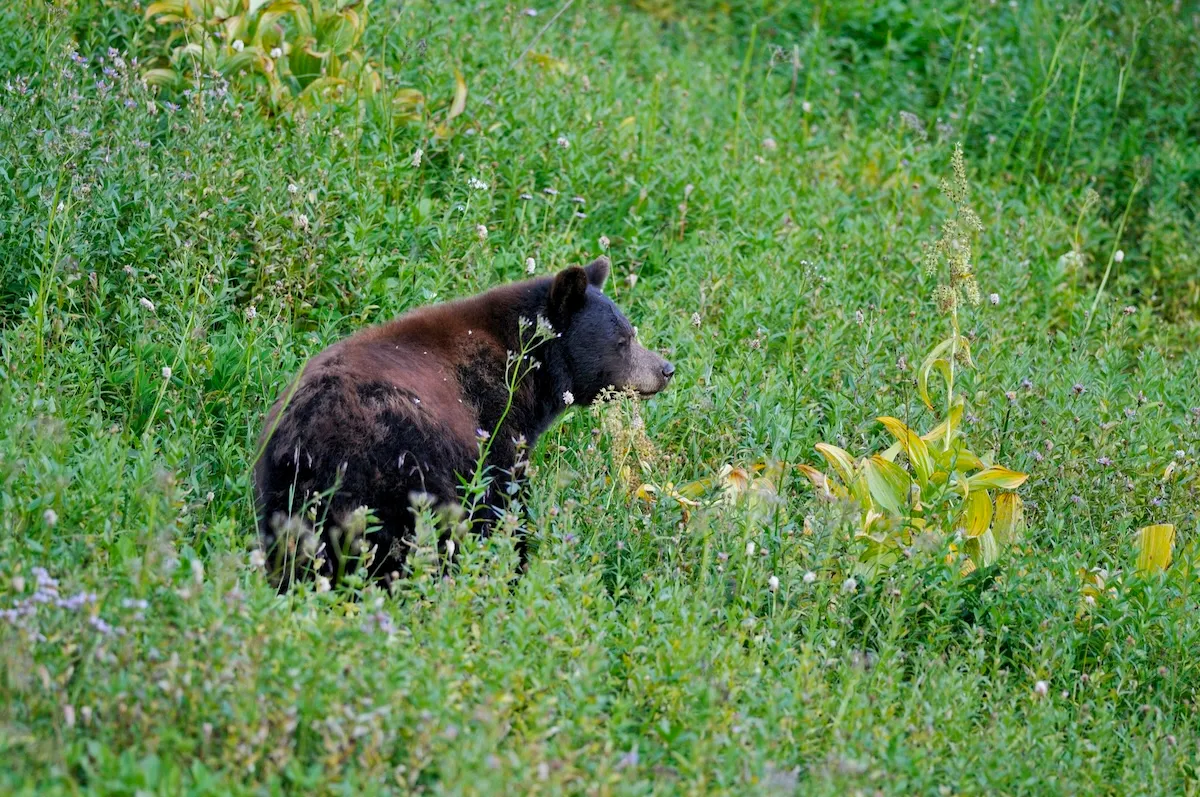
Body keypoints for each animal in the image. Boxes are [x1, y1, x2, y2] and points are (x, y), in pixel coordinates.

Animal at [253, 256, 674, 590]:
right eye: (623, 340)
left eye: (631, 332)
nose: (666, 369)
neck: (526, 365)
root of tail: (308, 443)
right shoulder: (491, 423)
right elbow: (502, 500)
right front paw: (512, 566)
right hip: (402, 468)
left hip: (282, 493)